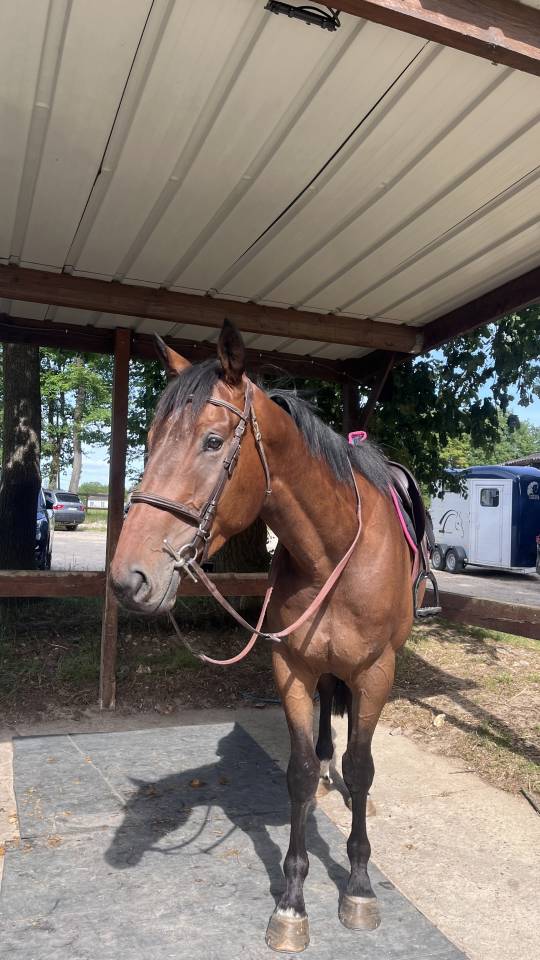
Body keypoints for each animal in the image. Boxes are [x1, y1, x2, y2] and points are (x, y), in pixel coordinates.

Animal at [111, 320, 420, 953]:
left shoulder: (376, 673)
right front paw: (292, 901)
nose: (131, 578)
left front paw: (358, 887)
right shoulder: (292, 669)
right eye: (149, 441)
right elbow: (297, 773)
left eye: (212, 441)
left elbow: (362, 768)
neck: (335, 550)